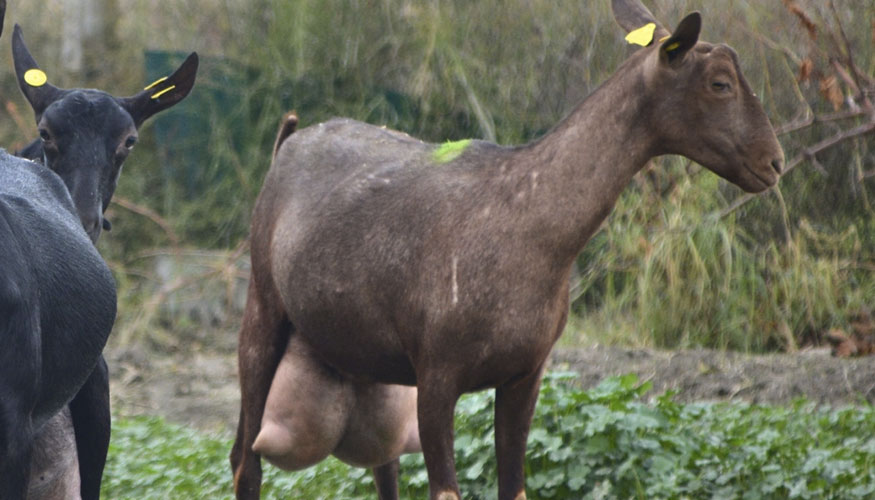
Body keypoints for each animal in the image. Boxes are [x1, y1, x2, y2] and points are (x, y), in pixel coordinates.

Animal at [229, 1, 784, 498]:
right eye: (720, 83)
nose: (774, 163)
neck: (527, 226)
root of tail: (286, 143)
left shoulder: (525, 374)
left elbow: (514, 488)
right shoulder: (437, 375)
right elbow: (446, 490)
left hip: (367, 364)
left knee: (378, 467)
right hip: (262, 311)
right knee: (244, 461)